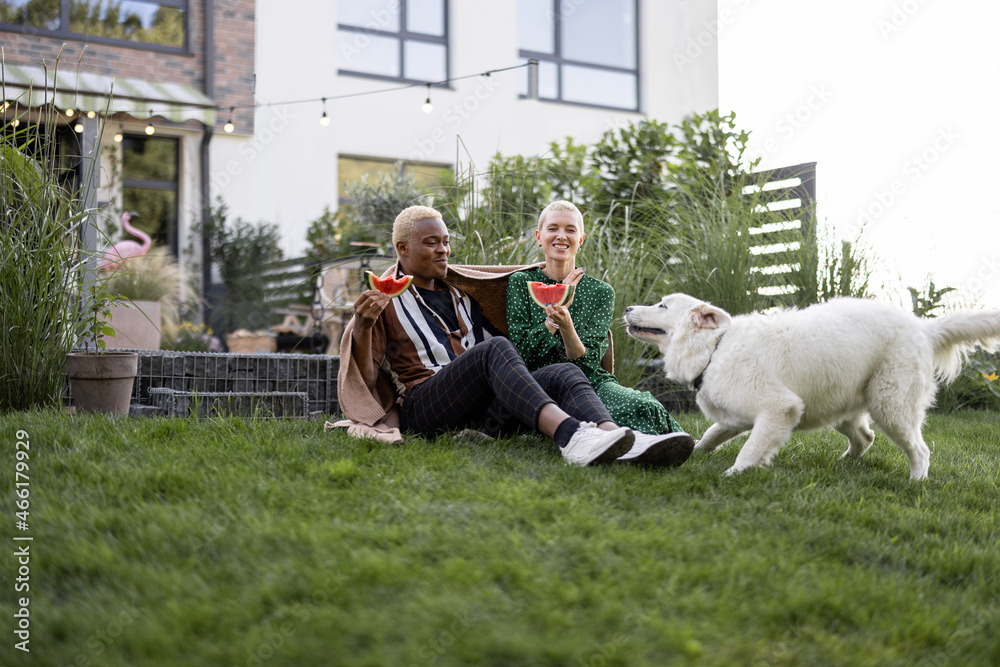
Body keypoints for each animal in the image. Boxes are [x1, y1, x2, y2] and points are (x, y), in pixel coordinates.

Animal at [624, 298, 1000, 480]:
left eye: (662, 305)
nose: (627, 307)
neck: (715, 346)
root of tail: (923, 327)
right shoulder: (734, 418)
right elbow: (708, 437)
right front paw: (692, 452)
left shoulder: (779, 408)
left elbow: (749, 450)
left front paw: (733, 475)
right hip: (840, 406)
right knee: (865, 437)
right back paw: (844, 464)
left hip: (890, 406)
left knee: (920, 450)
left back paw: (916, 482)